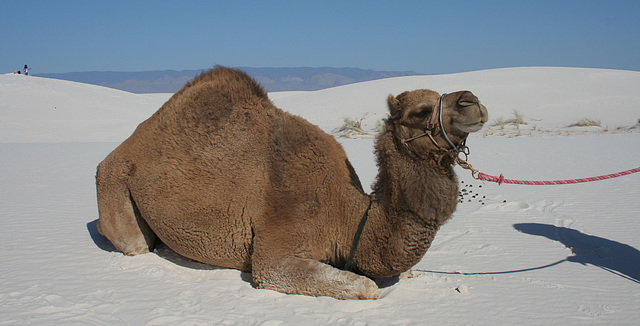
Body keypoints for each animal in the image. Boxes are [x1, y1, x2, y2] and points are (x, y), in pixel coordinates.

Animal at [95, 65, 488, 300]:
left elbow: (403, 273)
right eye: (419, 112)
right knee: (134, 243)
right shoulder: (277, 253)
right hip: (113, 179)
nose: (473, 101)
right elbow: (367, 287)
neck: (348, 215)